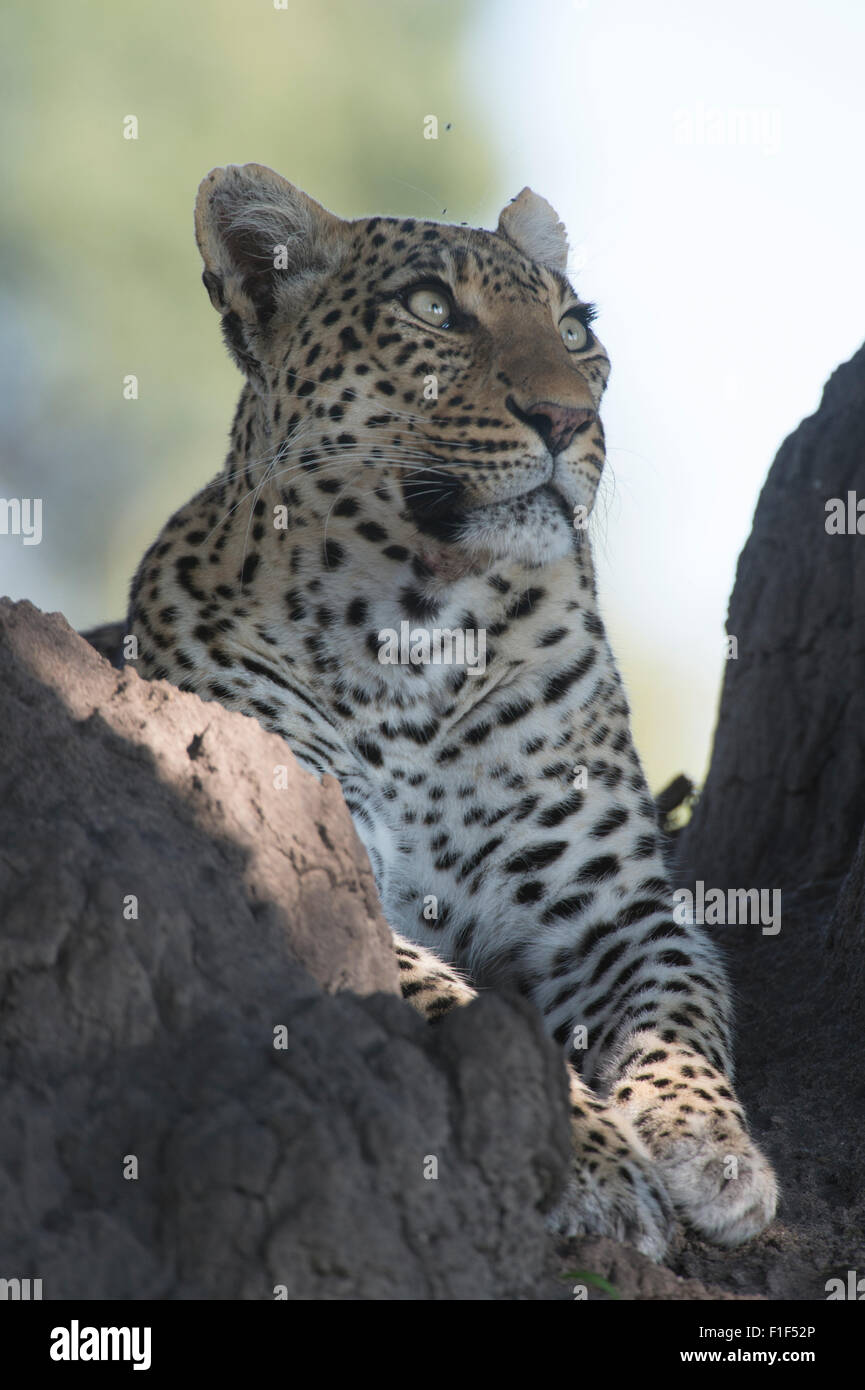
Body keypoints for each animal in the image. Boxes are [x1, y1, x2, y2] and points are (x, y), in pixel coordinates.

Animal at [128, 162, 778, 1262]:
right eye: (432, 309)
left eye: (574, 328)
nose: (564, 418)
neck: (422, 625)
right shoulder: (311, 862)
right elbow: (454, 999)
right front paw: (590, 1161)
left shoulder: (612, 906)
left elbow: (682, 1006)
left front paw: (713, 1149)